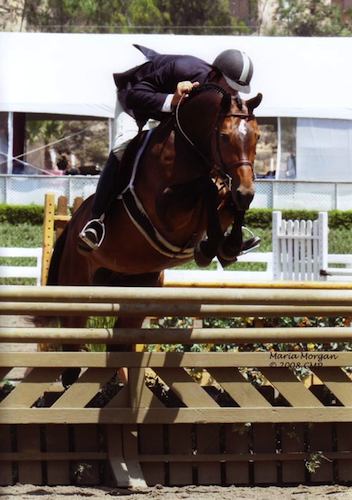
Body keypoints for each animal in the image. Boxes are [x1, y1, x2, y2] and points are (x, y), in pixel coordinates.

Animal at [46, 83, 262, 386]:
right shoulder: (166, 209)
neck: (189, 147)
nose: (247, 191)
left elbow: (224, 198)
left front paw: (227, 246)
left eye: (257, 136)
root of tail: (72, 225)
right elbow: (206, 187)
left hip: (138, 287)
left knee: (119, 345)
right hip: (76, 292)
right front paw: (210, 247)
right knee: (71, 354)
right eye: (223, 136)